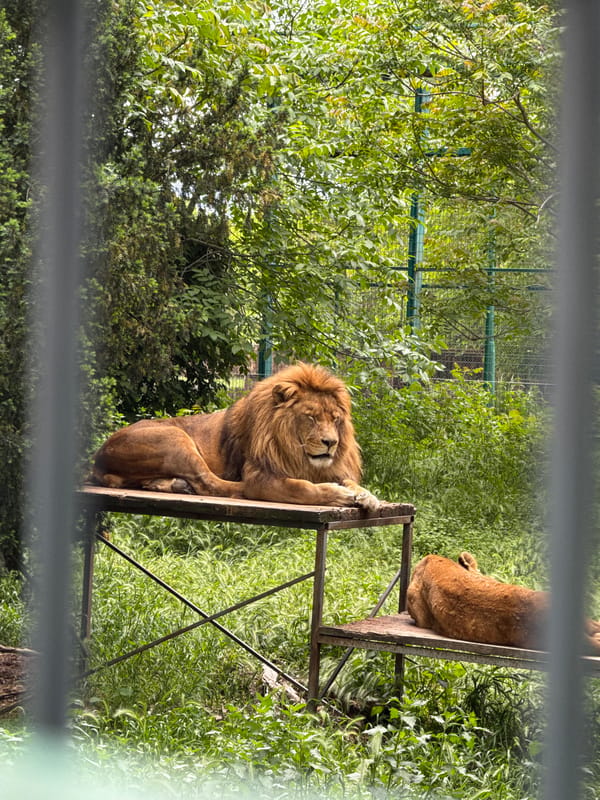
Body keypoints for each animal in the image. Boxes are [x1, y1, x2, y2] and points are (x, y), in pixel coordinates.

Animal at [91, 362, 380, 510]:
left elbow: (351, 482)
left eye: (335, 419)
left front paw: (367, 496)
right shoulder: (260, 472)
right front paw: (339, 493)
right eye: (310, 417)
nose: (331, 443)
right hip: (175, 437)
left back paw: (172, 485)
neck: (298, 454)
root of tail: (99, 457)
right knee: (211, 483)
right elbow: (301, 487)